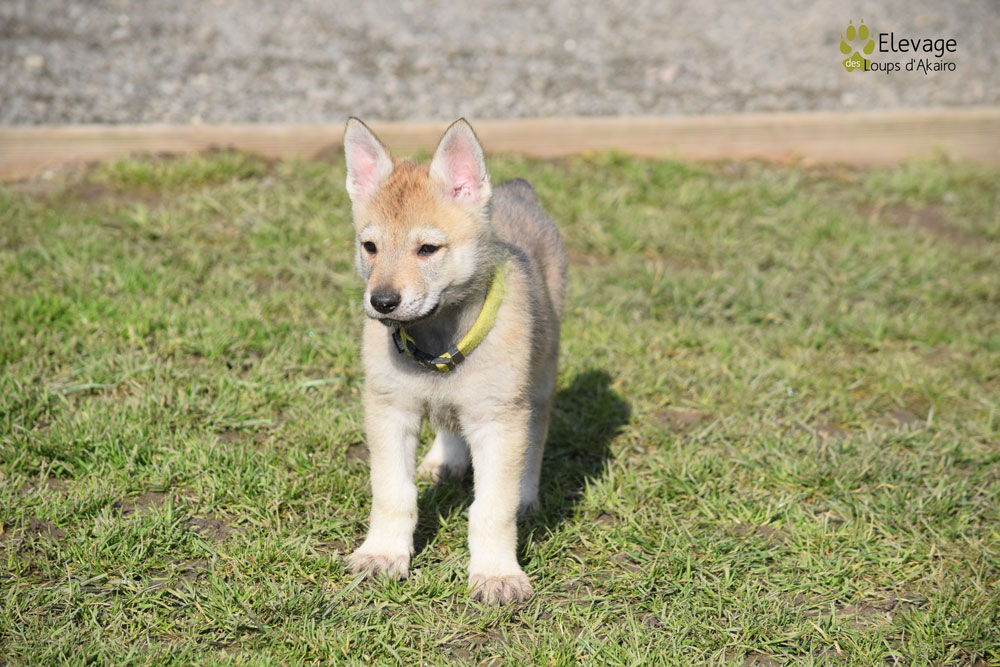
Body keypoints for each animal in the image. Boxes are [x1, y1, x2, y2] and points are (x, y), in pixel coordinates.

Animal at [341, 117, 567, 603]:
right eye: (369, 246)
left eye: (428, 248)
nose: (382, 302)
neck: (438, 342)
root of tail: (518, 191)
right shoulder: (389, 410)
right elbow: (392, 493)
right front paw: (383, 554)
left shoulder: (499, 418)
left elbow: (492, 507)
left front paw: (497, 574)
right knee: (449, 423)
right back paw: (443, 460)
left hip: (539, 380)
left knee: (536, 437)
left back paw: (527, 495)